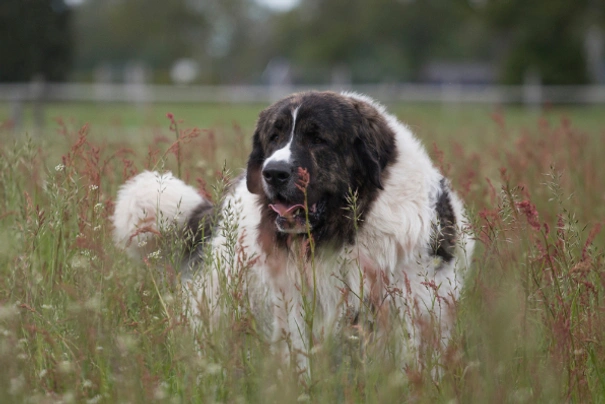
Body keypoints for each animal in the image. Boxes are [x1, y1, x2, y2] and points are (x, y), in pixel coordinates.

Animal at [112, 91, 472, 372]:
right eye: (274, 137)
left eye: (318, 139)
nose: (273, 172)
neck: (347, 231)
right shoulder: (297, 310)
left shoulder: (414, 307)